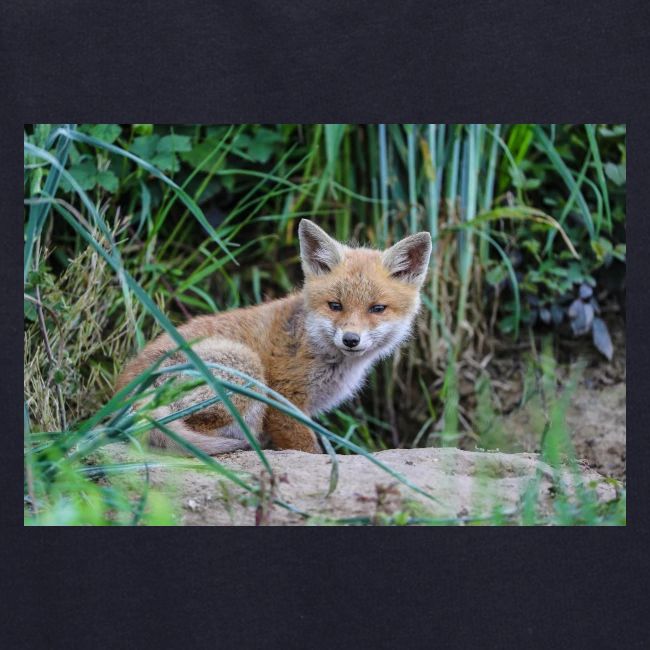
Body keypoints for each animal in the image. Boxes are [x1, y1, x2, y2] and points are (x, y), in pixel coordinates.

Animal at [116, 219, 432, 455]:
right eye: (335, 305)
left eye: (377, 309)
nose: (351, 339)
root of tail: (124, 395)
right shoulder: (283, 400)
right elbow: (308, 449)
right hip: (246, 368)